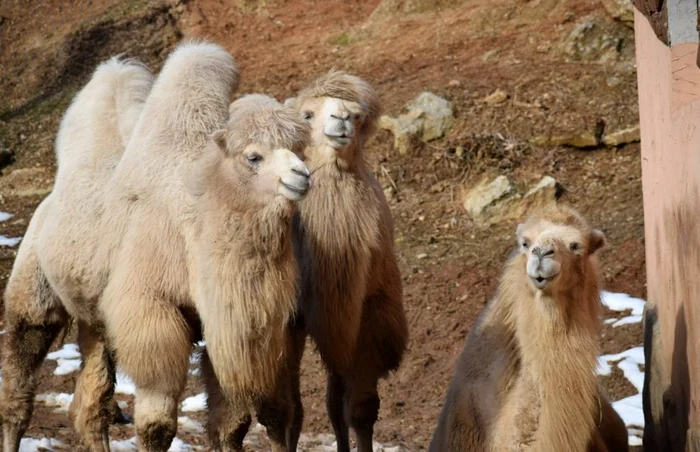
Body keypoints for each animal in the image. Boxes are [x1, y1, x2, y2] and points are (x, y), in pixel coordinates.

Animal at [0, 39, 312, 452]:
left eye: (299, 149)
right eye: (253, 156)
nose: (301, 176)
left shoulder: (236, 326)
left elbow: (236, 422)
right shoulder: (151, 314)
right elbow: (156, 425)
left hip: (97, 321)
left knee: (90, 403)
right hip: (34, 287)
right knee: (20, 380)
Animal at [204, 69, 410, 452]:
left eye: (358, 115)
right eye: (309, 115)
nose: (342, 119)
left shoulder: (366, 312)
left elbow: (357, 408)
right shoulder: (285, 321)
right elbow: (283, 410)